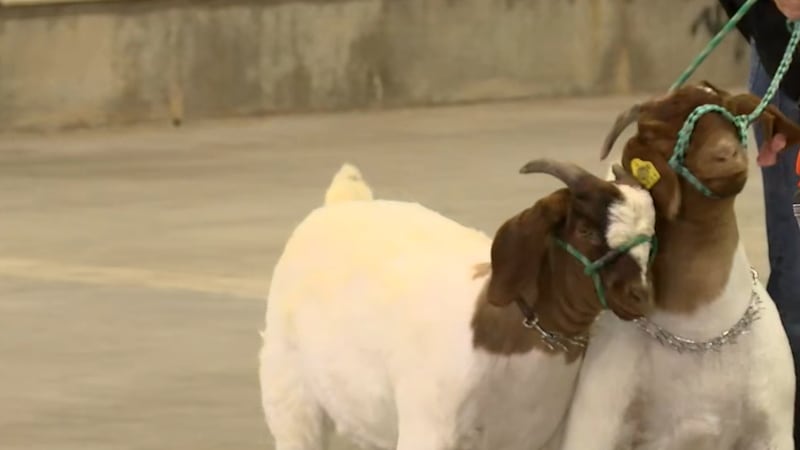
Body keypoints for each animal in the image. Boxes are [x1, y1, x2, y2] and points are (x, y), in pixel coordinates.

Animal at [258, 159, 657, 450]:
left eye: (652, 236)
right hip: (288, 392)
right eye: (585, 230)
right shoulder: (430, 428)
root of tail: (343, 200)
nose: (641, 294)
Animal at [558, 81, 800, 450]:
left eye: (732, 115)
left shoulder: (772, 430)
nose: (726, 155)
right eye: (655, 135)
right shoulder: (596, 426)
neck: (701, 329)